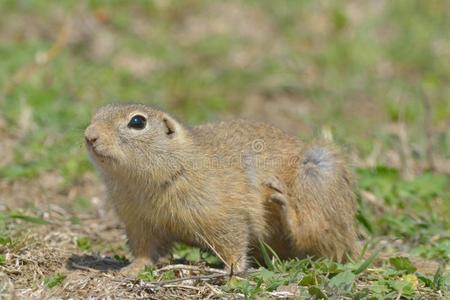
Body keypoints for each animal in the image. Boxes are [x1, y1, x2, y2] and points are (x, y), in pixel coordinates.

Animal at [84, 103, 358, 274]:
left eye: (137, 121)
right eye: (97, 113)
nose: (89, 135)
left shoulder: (222, 211)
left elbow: (232, 238)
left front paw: (231, 270)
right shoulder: (138, 219)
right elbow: (144, 248)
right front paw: (130, 269)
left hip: (319, 173)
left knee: (318, 234)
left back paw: (283, 204)